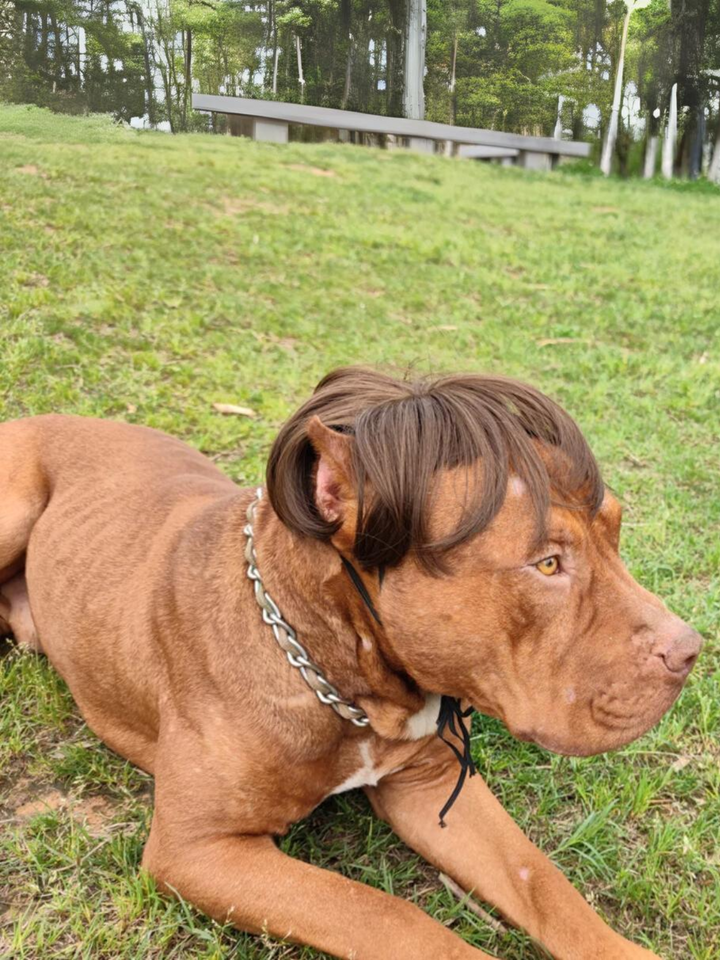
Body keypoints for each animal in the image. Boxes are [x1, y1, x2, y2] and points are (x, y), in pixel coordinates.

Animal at [0, 370, 696, 960]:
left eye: (616, 530)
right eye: (548, 563)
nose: (689, 650)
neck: (340, 677)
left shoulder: (431, 785)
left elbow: (540, 877)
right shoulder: (199, 849)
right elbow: (387, 914)